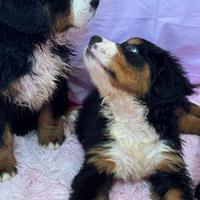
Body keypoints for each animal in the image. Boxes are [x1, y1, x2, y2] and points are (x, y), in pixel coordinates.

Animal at [0, 0, 99, 181]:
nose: (96, 2)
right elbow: (2, 133)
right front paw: (4, 165)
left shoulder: (57, 77)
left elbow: (49, 112)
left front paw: (50, 137)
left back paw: (73, 112)